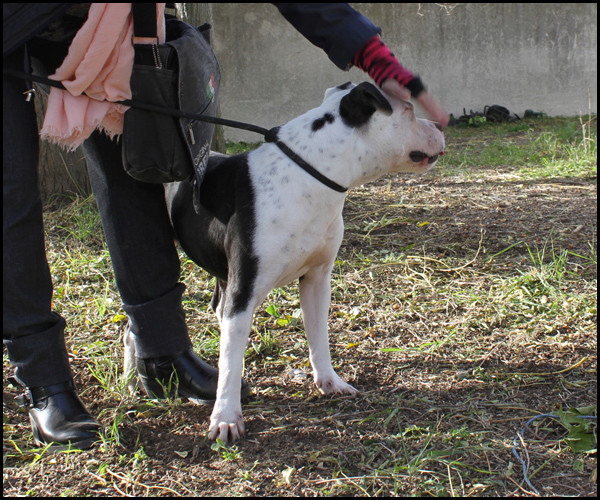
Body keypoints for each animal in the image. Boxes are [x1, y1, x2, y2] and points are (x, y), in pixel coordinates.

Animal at [124, 82, 442, 442]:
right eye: (409, 111)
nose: (438, 125)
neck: (309, 173)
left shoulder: (317, 280)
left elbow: (318, 336)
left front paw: (329, 381)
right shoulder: (244, 290)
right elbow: (232, 359)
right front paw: (226, 416)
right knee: (137, 318)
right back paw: (134, 379)